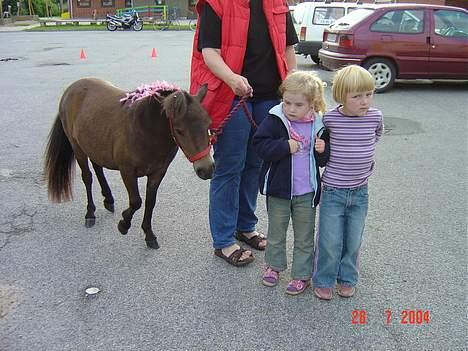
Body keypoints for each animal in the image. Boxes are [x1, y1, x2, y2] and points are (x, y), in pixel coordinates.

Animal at [43, 78, 215, 249]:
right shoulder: (127, 171)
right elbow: (136, 202)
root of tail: (72, 87)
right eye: (179, 130)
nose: (206, 169)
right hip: (77, 146)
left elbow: (150, 202)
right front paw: (124, 224)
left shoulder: (158, 172)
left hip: (93, 144)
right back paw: (90, 213)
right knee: (87, 177)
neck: (145, 130)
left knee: (98, 167)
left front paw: (149, 234)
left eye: (208, 124)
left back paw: (108, 199)